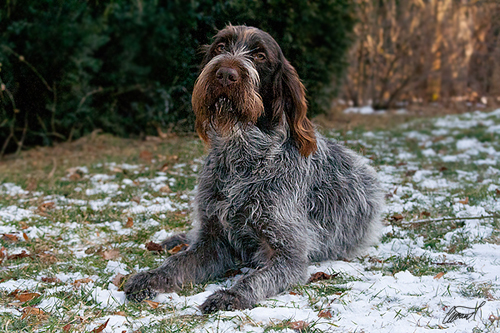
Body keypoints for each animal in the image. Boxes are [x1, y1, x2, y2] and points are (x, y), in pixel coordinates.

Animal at [124, 24, 382, 312]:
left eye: (260, 56)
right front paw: (149, 277)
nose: (226, 74)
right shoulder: (212, 240)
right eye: (221, 47)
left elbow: (255, 279)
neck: (242, 157)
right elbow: (176, 264)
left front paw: (230, 295)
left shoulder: (287, 256)